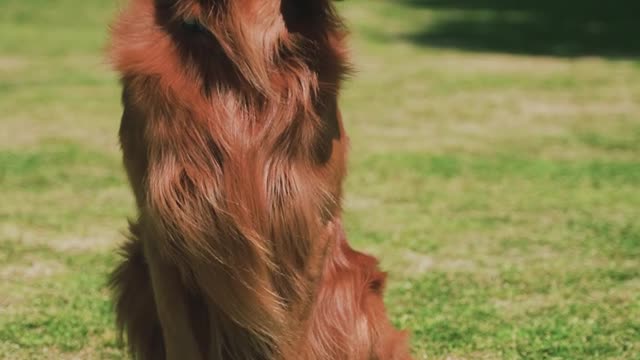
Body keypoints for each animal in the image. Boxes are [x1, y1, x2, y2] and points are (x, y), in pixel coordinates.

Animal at [109, 0, 410, 358]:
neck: (246, 60)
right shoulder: (163, 229)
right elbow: (180, 336)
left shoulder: (305, 227)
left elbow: (289, 337)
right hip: (134, 266)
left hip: (355, 283)